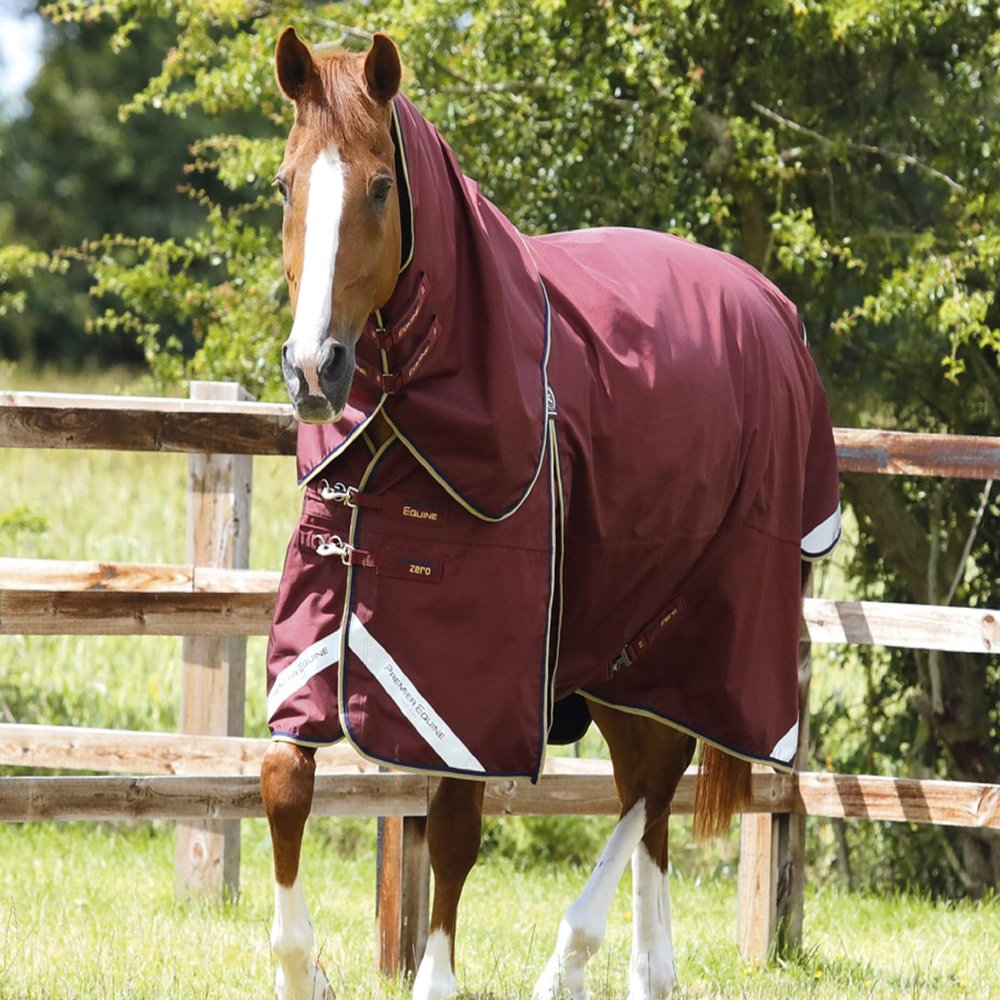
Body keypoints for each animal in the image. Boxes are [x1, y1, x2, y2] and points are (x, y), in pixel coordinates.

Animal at [260, 27, 841, 1000]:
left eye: (380, 186)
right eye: (284, 183)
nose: (314, 368)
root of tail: (773, 309)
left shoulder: (471, 678)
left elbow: (455, 827)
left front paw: (434, 981)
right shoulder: (321, 616)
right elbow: (281, 776)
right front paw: (304, 972)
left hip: (706, 627)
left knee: (657, 777)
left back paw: (573, 957)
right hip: (615, 641)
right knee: (646, 782)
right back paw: (650, 970)